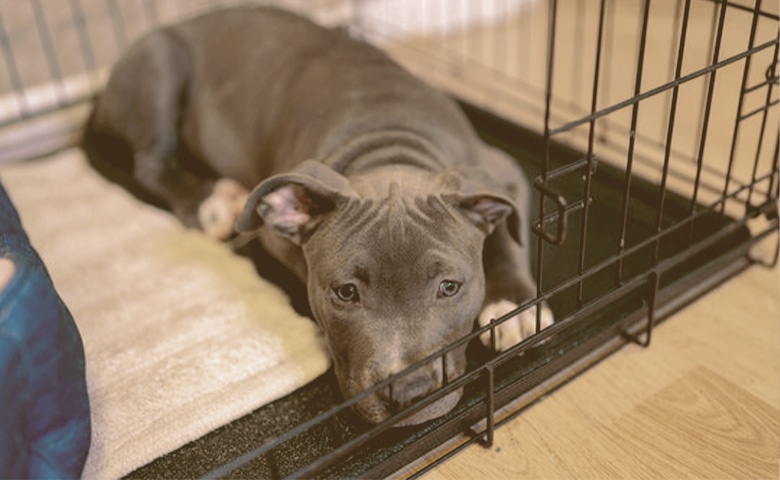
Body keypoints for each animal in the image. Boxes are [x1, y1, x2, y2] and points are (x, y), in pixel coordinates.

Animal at [82, 3, 552, 424]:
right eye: (345, 293)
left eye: (450, 287)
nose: (407, 392)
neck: (389, 143)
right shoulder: (274, 231)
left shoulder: (502, 173)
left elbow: (508, 237)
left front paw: (515, 305)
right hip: (160, 61)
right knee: (150, 161)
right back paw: (211, 204)